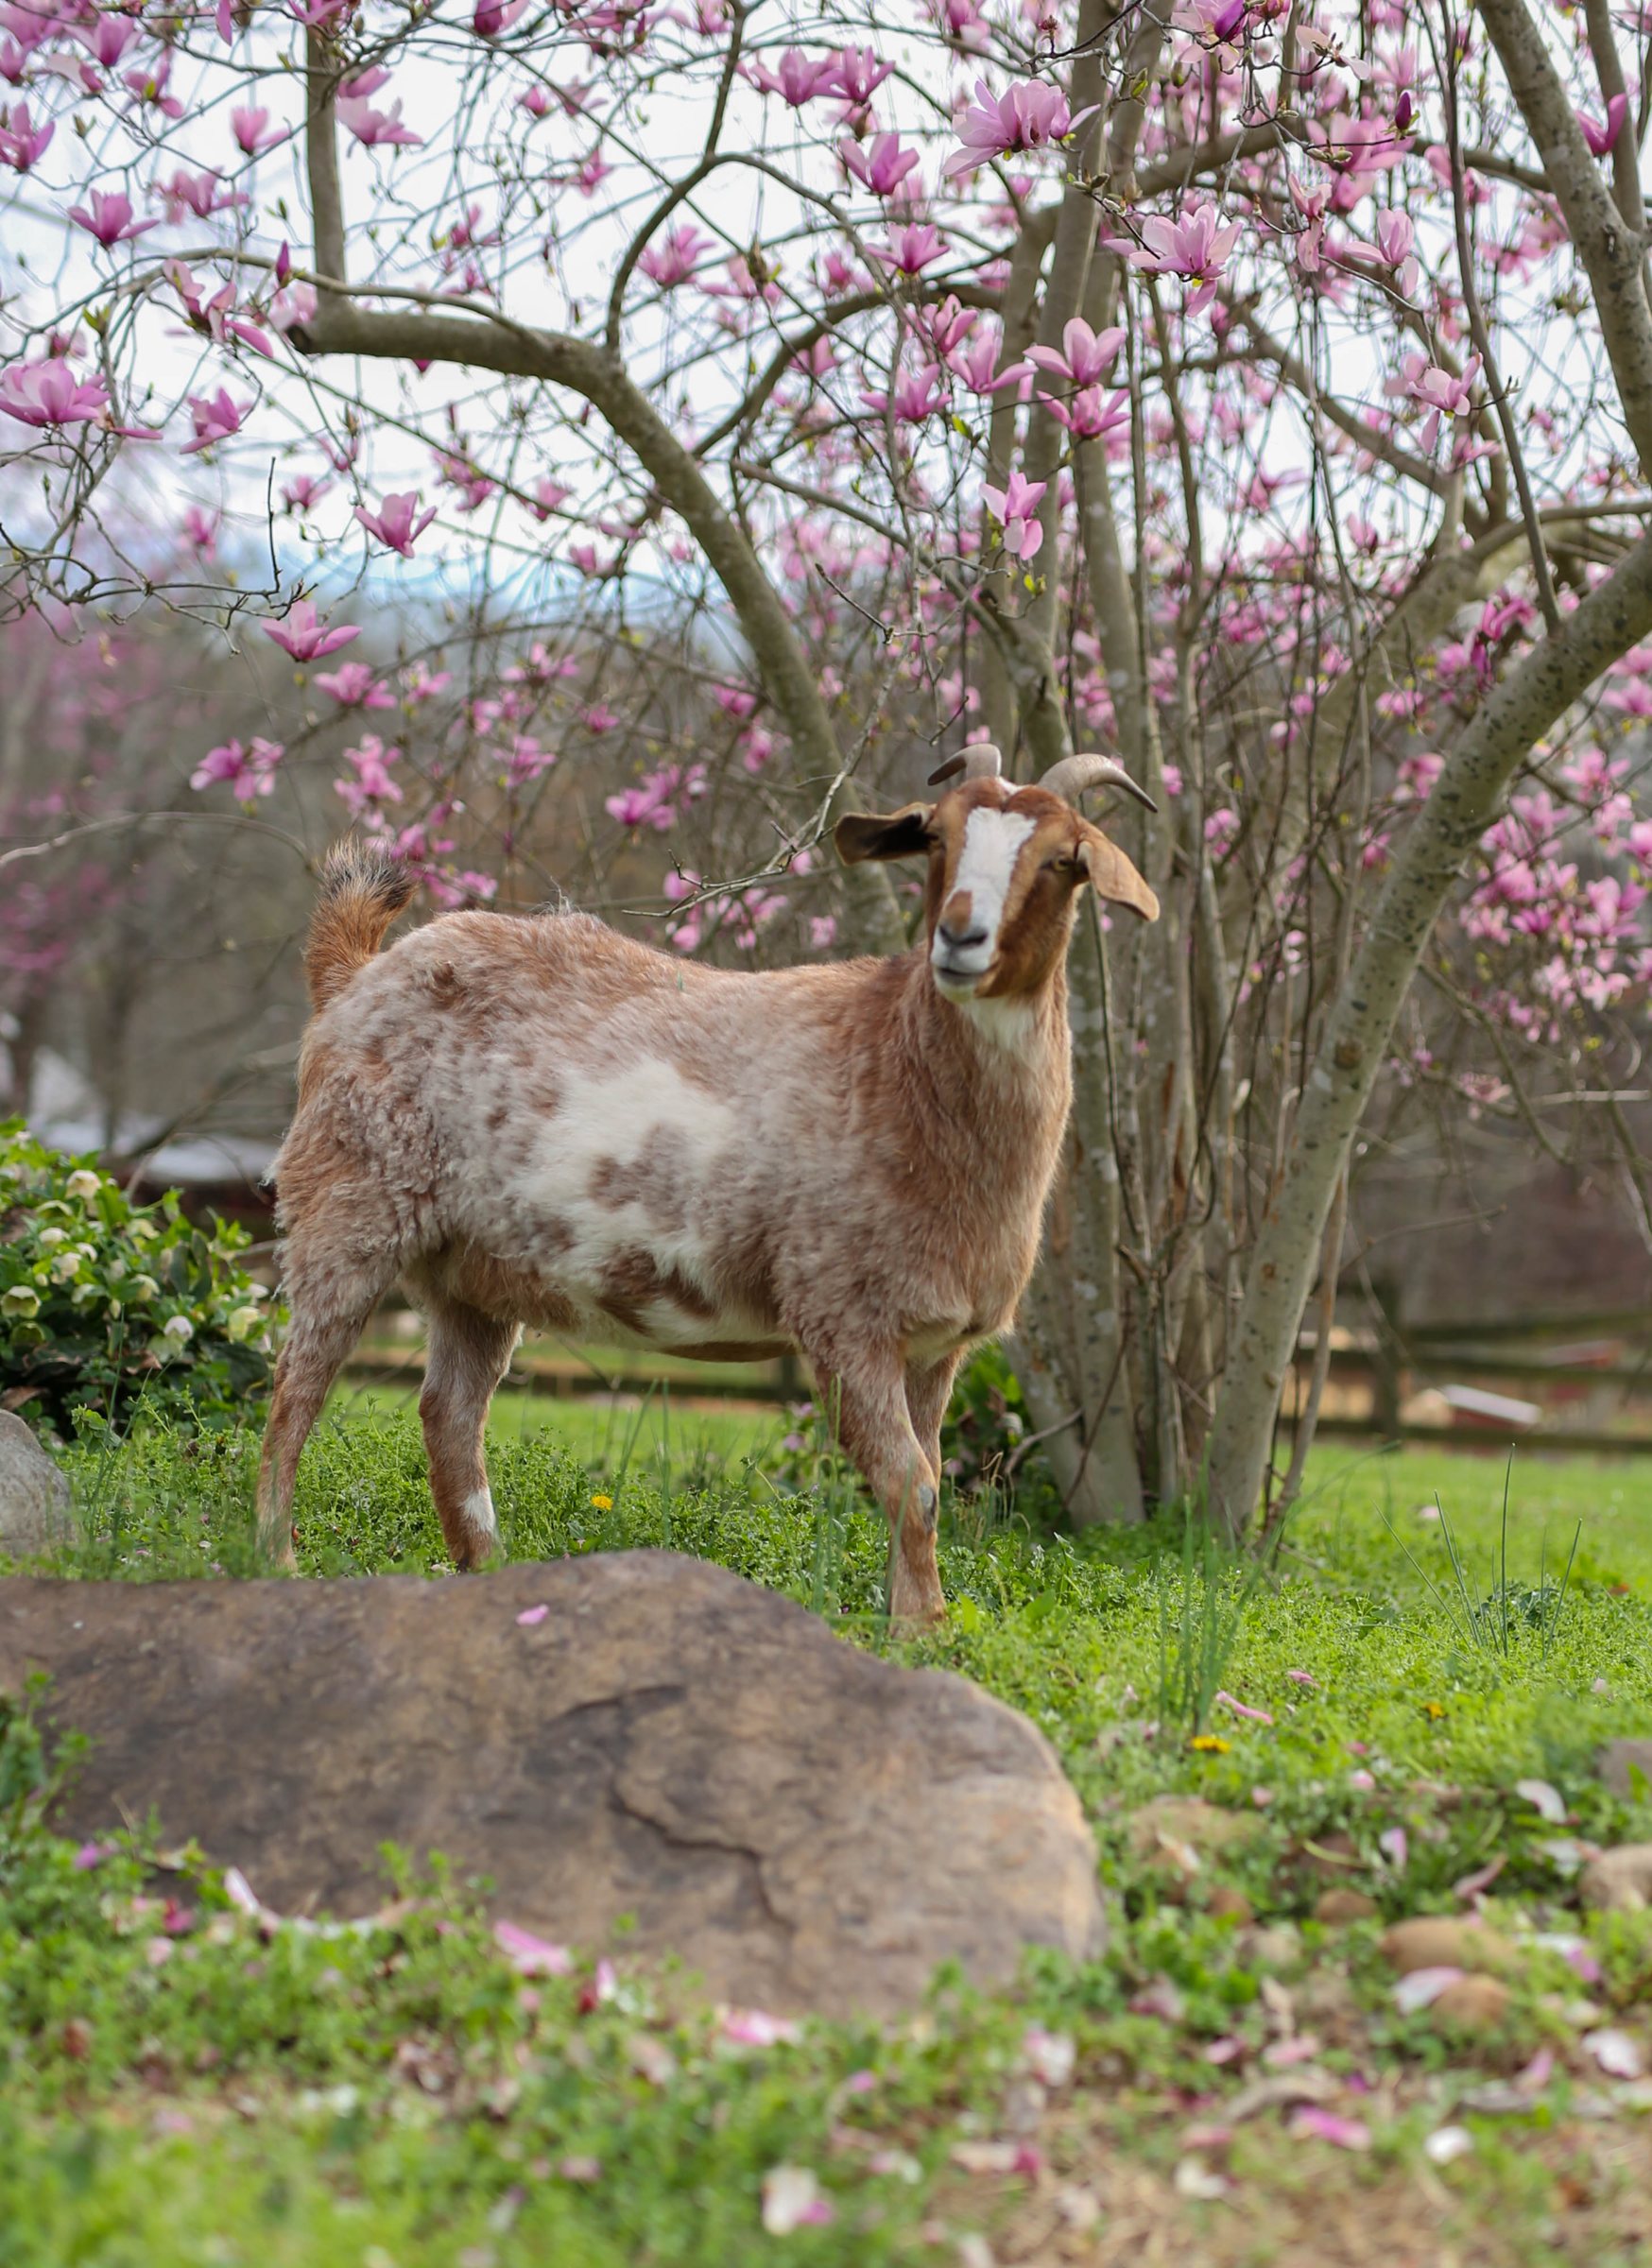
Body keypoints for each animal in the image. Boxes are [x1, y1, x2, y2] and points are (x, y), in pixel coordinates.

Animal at [256, 746, 1158, 1619]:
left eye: (1064, 857)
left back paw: (492, 1573)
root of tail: (355, 975)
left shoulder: (935, 1345)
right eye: (934, 837)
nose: (961, 937)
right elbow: (912, 1485)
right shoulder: (841, 1314)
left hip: (471, 1276)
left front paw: (917, 1620)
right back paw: (279, 1560)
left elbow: (929, 1480)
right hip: (345, 1207)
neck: (892, 1061)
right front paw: (919, 1629)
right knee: (295, 1388)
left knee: (449, 1415)